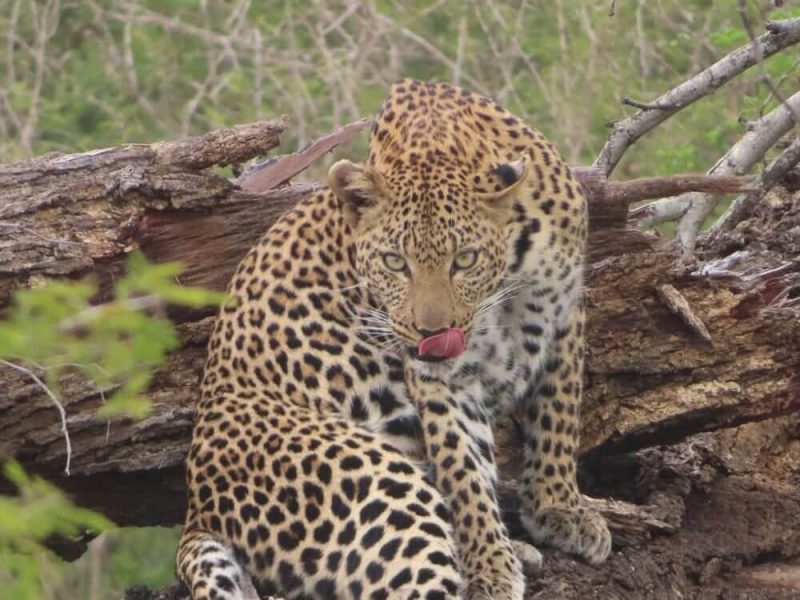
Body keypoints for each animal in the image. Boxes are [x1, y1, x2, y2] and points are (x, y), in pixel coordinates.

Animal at [177, 79, 611, 600]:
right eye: (393, 263)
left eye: (464, 259)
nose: (432, 335)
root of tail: (196, 511)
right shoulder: (438, 377)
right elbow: (462, 465)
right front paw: (489, 565)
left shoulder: (565, 308)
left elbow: (558, 415)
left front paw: (557, 507)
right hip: (372, 486)